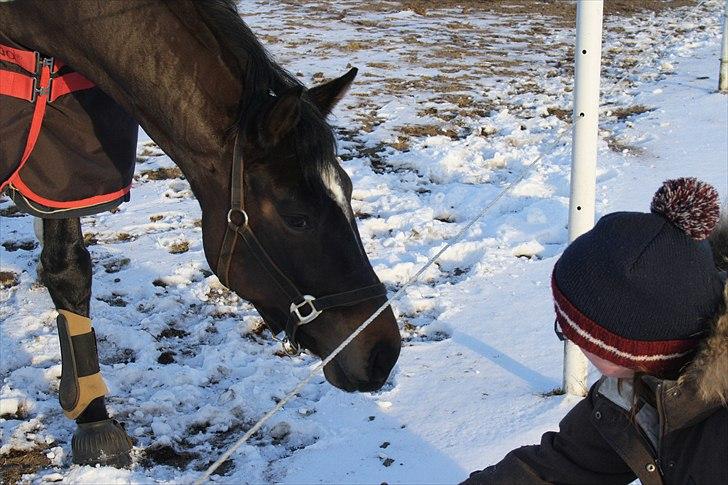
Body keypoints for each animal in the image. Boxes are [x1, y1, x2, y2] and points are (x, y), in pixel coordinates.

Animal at [0, 0, 404, 466]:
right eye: (297, 217)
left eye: (349, 189)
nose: (382, 353)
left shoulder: (64, 153)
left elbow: (68, 269)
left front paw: (92, 420)